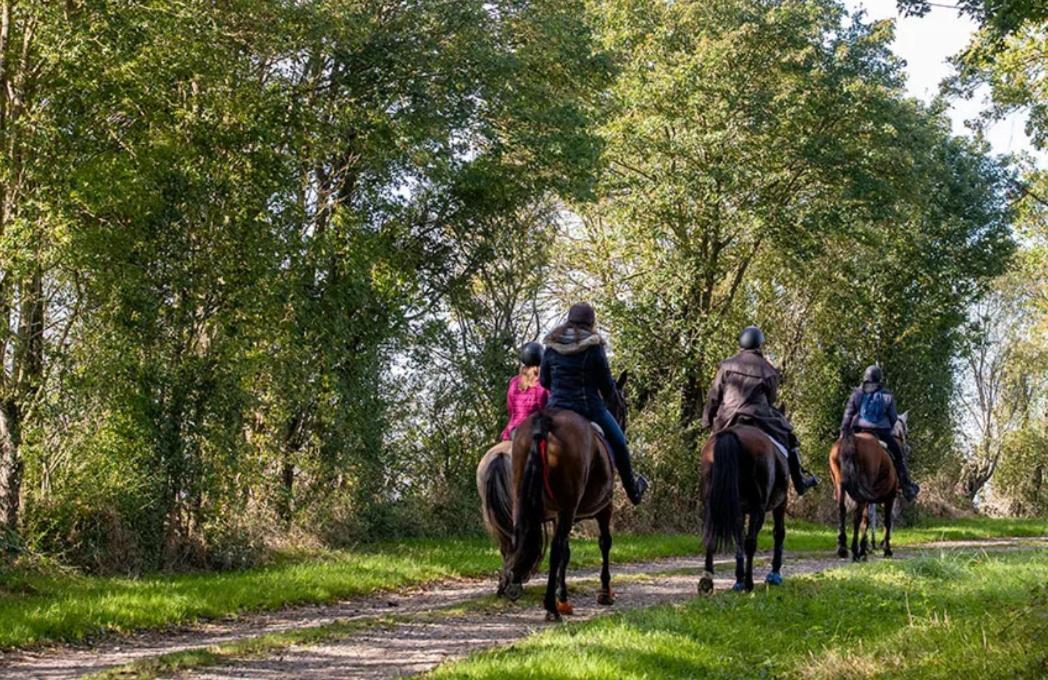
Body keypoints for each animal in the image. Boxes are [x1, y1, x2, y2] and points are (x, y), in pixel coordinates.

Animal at [500, 370, 624, 620]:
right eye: (624, 406)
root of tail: (545, 421)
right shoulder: (603, 507)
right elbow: (604, 543)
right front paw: (604, 593)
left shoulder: (559, 514)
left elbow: (567, 552)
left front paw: (563, 596)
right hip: (570, 507)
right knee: (556, 549)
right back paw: (550, 607)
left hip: (522, 501)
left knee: (521, 539)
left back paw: (516, 584)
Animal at [695, 427, 788, 590]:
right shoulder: (780, 504)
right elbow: (778, 533)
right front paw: (774, 574)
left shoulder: (740, 510)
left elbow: (739, 540)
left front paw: (739, 579)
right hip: (759, 508)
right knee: (751, 542)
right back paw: (749, 583)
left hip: (711, 504)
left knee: (712, 536)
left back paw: (707, 579)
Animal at [825, 410, 909, 561]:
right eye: (907, 431)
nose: (908, 448)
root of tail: (851, 440)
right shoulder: (890, 497)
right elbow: (886, 521)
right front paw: (885, 549)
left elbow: (867, 520)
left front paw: (865, 548)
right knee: (857, 516)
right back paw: (855, 551)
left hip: (841, 485)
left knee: (842, 510)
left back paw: (843, 548)